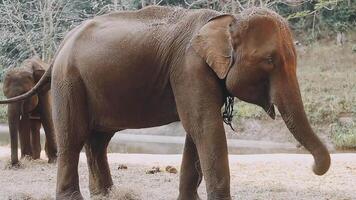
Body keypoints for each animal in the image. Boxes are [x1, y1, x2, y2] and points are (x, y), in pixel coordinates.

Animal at [0, 6, 330, 200]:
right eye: (269, 60)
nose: (314, 167)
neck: (227, 18)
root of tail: (61, 45)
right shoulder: (188, 67)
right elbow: (204, 127)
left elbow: (196, 131)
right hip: (70, 81)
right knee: (74, 136)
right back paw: (76, 197)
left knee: (98, 139)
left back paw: (106, 193)